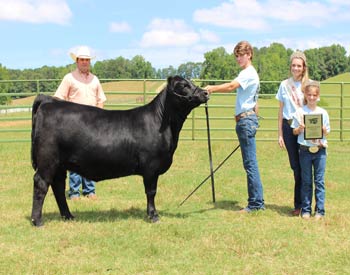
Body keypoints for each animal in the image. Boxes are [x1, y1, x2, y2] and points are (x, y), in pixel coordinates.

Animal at [30, 75, 208, 226]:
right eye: (183, 85)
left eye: (191, 82)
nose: (205, 92)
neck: (163, 124)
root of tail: (50, 101)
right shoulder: (151, 167)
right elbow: (151, 192)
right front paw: (153, 216)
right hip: (48, 160)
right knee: (41, 184)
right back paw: (37, 220)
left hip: (60, 164)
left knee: (58, 187)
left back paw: (68, 216)